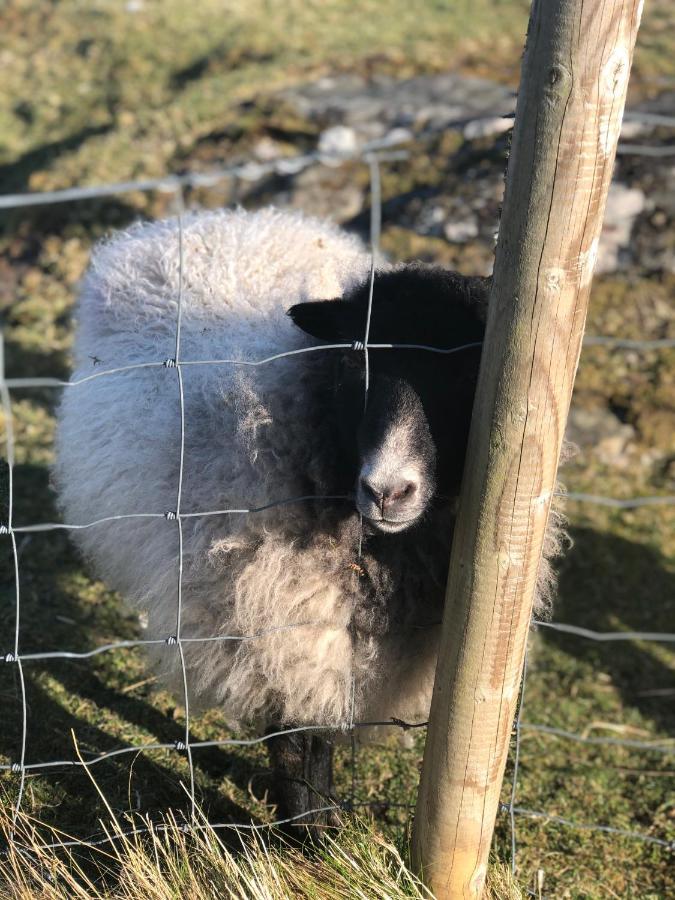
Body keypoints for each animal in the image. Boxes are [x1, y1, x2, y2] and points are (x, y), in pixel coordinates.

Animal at [52, 204, 564, 828]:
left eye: (472, 375)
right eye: (350, 365)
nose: (388, 489)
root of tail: (211, 217)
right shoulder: (279, 618)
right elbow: (298, 740)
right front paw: (312, 832)